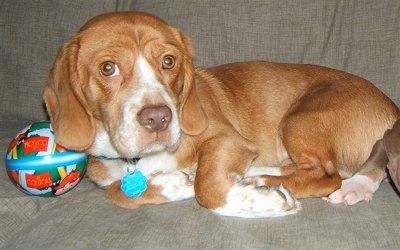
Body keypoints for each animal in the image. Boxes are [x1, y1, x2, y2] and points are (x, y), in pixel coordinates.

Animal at [42, 11, 398, 218]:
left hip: (299, 119)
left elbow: (208, 187)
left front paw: (263, 201)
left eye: (169, 61)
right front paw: (175, 183)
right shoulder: (105, 172)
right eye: (108, 68)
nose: (158, 119)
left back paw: (263, 181)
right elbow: (120, 192)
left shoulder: (226, 139)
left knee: (327, 175)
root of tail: (392, 108)